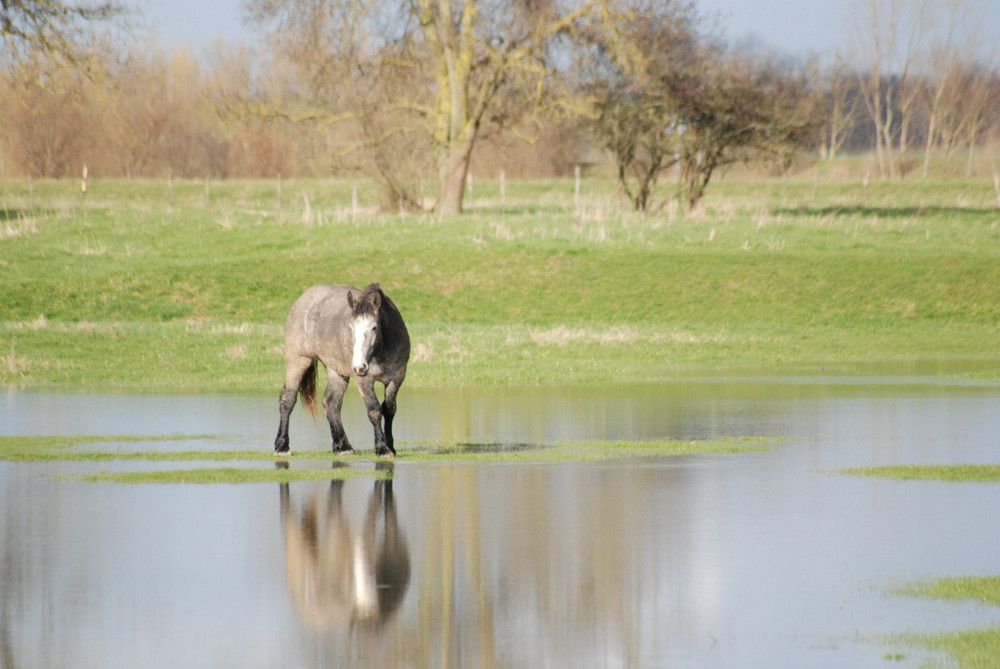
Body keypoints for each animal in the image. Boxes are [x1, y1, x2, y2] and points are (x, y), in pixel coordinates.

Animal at [272, 282, 408, 460]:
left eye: (374, 327)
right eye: (350, 328)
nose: (359, 366)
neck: (383, 348)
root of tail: (304, 298)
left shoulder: (396, 379)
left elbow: (389, 409)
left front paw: (391, 446)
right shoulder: (364, 380)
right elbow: (374, 410)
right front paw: (382, 448)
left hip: (336, 371)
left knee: (331, 403)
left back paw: (343, 447)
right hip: (298, 361)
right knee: (287, 398)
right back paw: (282, 446)